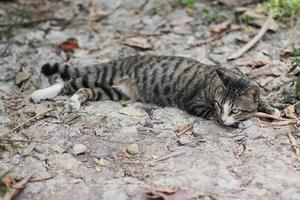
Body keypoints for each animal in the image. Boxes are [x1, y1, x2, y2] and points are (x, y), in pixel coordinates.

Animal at [30, 54, 278, 128]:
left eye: (235, 109)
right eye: (219, 105)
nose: (227, 117)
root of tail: (126, 58)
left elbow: (262, 100)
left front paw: (271, 109)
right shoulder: (196, 103)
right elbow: (211, 115)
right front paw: (233, 123)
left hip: (114, 91)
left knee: (85, 89)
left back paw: (76, 101)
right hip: (104, 74)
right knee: (69, 83)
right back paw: (40, 94)